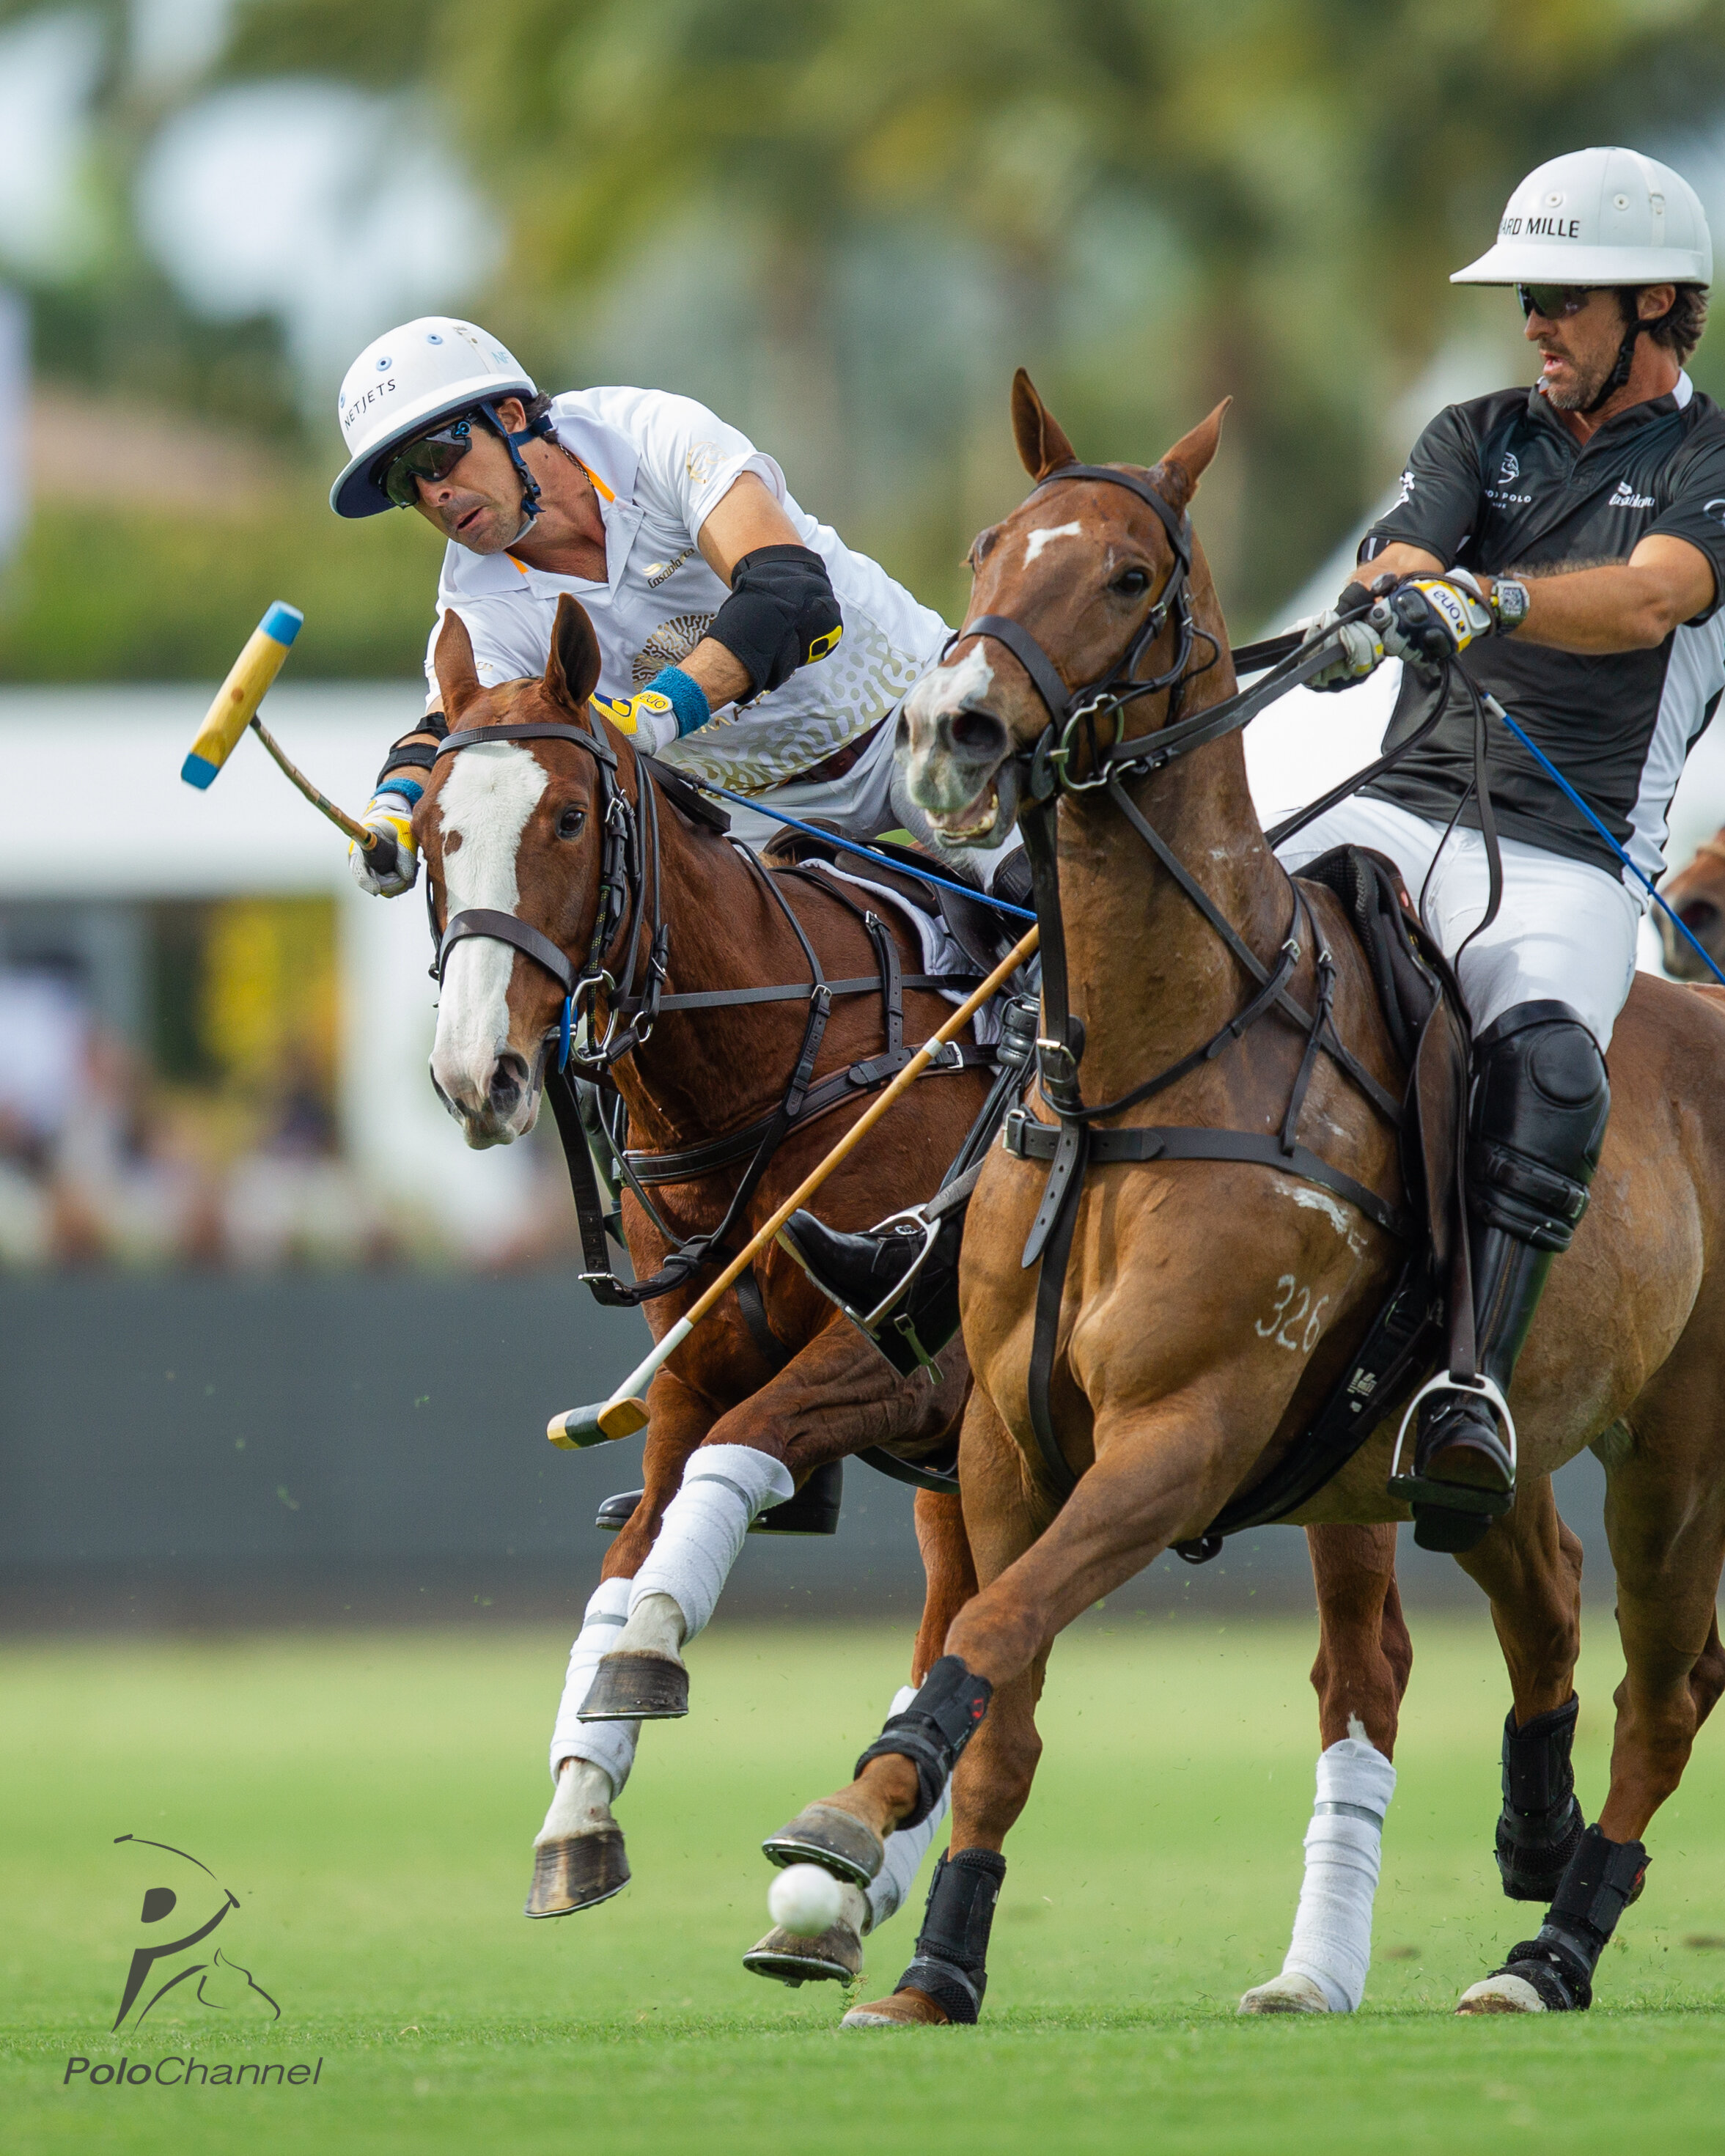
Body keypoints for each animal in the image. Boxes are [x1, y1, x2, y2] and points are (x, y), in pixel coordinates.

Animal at [418, 599, 1009, 1974]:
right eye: (426, 833)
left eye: (567, 819)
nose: (478, 1077)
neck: (770, 1063)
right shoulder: (685, 1381)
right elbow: (640, 1536)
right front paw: (578, 1809)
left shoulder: (904, 1362)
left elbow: (739, 1457)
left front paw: (643, 1662)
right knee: (963, 1618)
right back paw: (845, 1890)